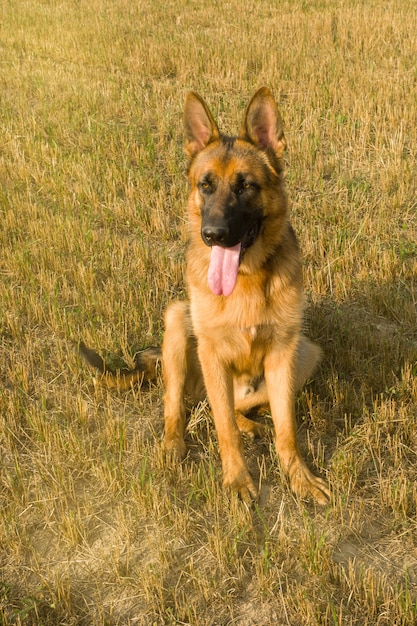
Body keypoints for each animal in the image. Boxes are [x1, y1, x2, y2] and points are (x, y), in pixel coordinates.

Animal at [80, 88, 328, 504]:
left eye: (246, 186)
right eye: (206, 185)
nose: (213, 234)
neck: (246, 279)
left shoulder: (283, 353)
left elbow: (286, 430)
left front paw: (299, 477)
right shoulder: (211, 352)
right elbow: (223, 428)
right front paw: (238, 480)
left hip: (307, 353)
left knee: (226, 408)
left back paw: (250, 425)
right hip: (178, 322)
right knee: (182, 407)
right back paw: (173, 446)